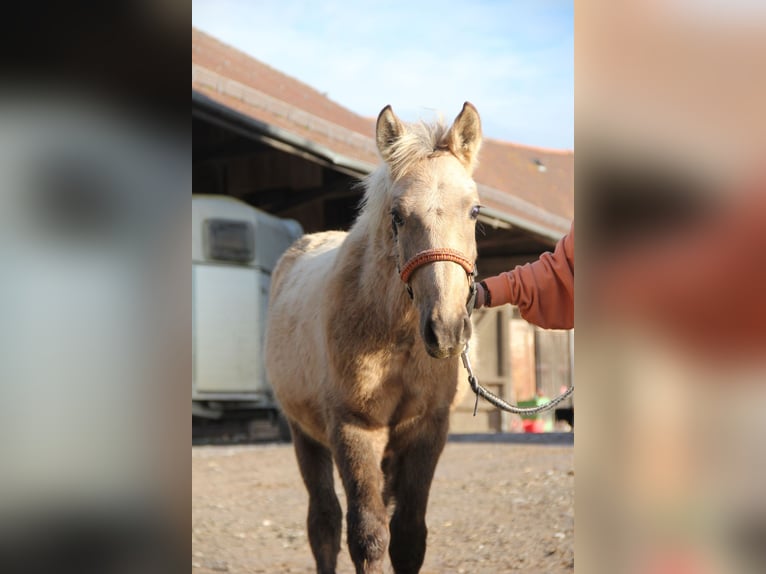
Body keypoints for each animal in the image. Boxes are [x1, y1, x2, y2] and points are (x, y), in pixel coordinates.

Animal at [264, 101, 480, 572]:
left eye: (474, 211)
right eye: (397, 215)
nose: (446, 329)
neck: (395, 336)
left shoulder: (426, 430)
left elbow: (409, 535)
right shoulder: (354, 428)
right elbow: (368, 535)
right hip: (304, 433)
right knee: (323, 522)